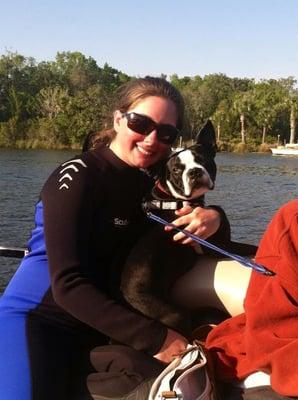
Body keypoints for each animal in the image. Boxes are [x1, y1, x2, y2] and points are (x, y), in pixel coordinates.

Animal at [120, 120, 229, 336]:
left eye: (203, 160)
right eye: (177, 170)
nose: (194, 171)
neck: (173, 199)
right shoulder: (214, 247)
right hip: (176, 315)